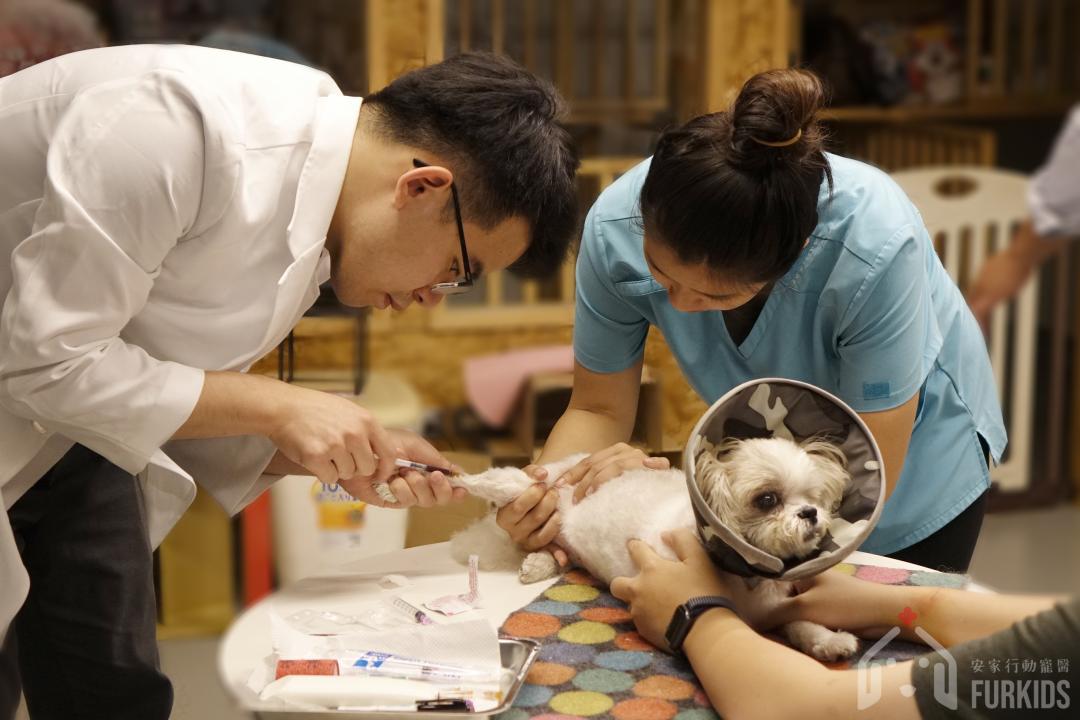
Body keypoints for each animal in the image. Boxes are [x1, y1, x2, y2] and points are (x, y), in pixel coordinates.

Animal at [447, 436, 859, 660]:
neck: (742, 575)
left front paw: (827, 640)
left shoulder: (773, 608)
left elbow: (800, 621)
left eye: (814, 498)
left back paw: (539, 563)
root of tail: (573, 464)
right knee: (489, 484)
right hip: (528, 488)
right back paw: (456, 479)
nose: (810, 513)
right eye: (767, 499)